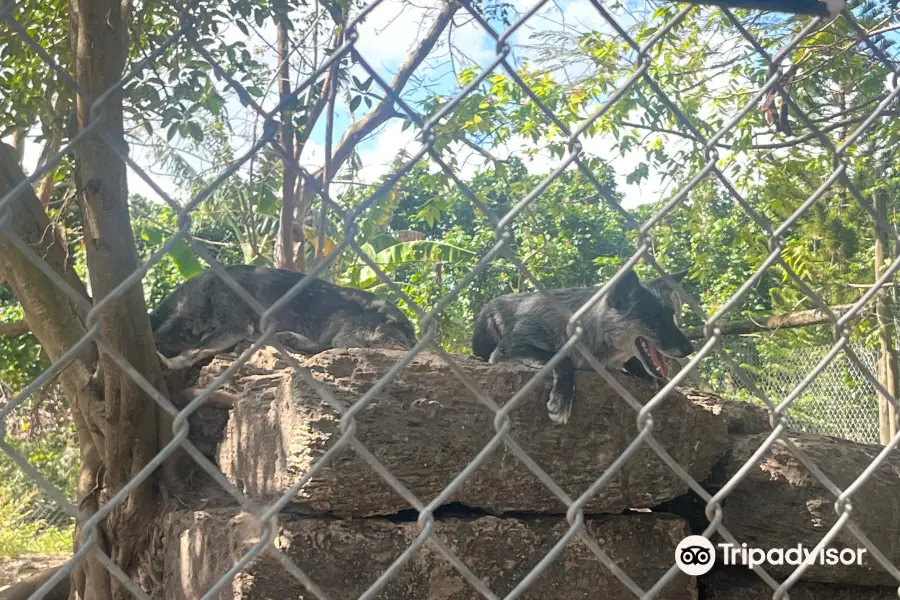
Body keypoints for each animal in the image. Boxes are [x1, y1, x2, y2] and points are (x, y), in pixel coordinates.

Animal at [152, 264, 418, 370]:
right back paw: (290, 338)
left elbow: (194, 350)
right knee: (322, 346)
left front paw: (171, 361)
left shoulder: (234, 326)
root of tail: (413, 334)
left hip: (348, 335)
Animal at [472, 270, 696, 424]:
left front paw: (647, 375)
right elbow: (564, 360)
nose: (690, 350)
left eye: (671, 316)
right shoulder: (510, 348)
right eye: (654, 318)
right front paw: (561, 400)